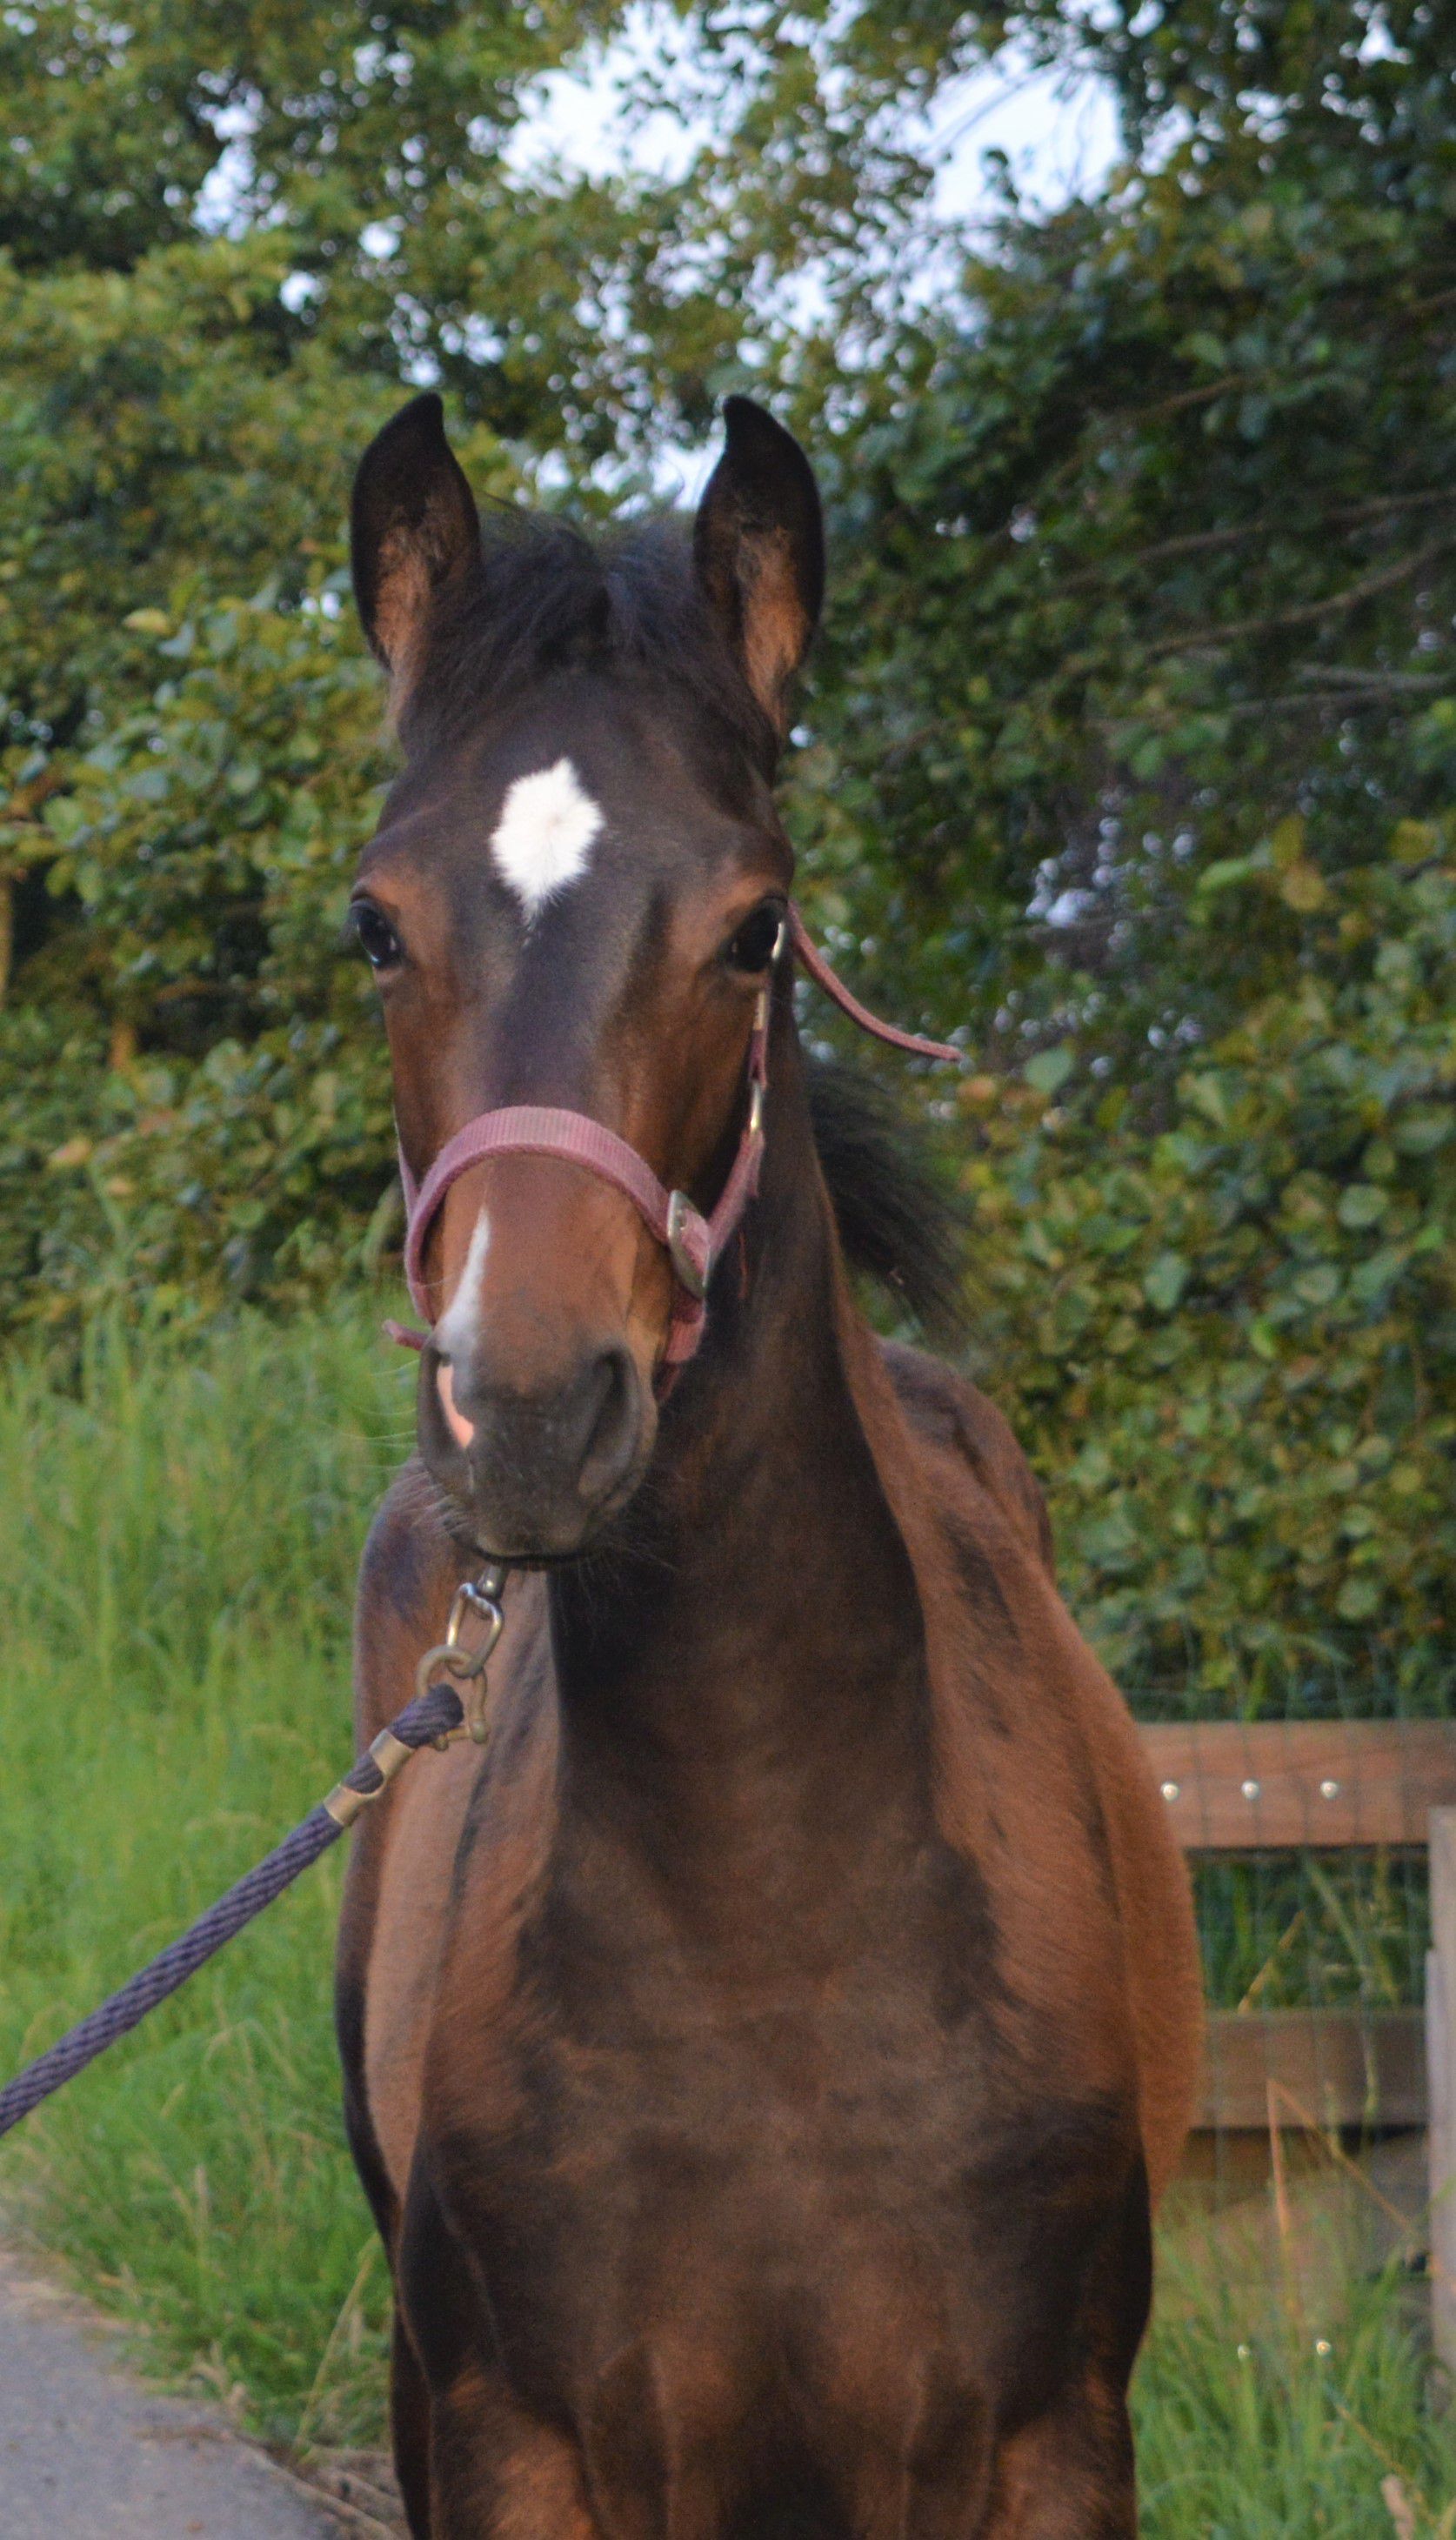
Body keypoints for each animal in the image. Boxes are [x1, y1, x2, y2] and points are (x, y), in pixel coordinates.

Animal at [335, 389, 1203, 2540]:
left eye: (756, 930)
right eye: (375, 923)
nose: (529, 1410)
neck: (773, 1921)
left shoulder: (1046, 2445)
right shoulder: (513, 2438)